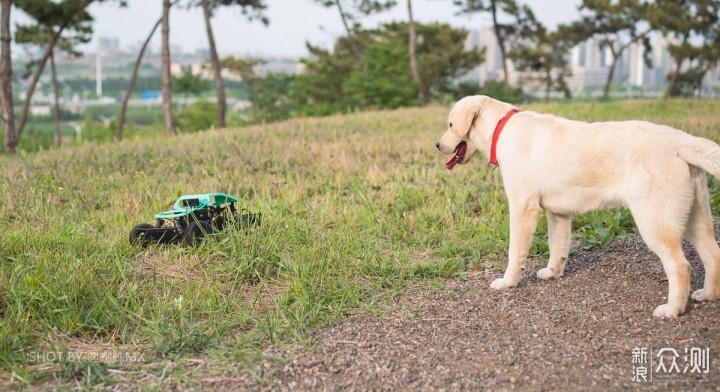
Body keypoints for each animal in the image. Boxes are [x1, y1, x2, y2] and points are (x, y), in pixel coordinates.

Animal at [436, 95, 716, 318]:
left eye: (450, 125)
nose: (437, 145)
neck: (501, 129)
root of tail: (678, 140)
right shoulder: (558, 213)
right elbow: (557, 246)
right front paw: (552, 273)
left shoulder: (523, 207)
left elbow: (515, 252)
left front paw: (507, 282)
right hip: (694, 218)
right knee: (714, 255)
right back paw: (708, 295)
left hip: (656, 222)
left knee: (680, 266)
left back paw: (672, 310)